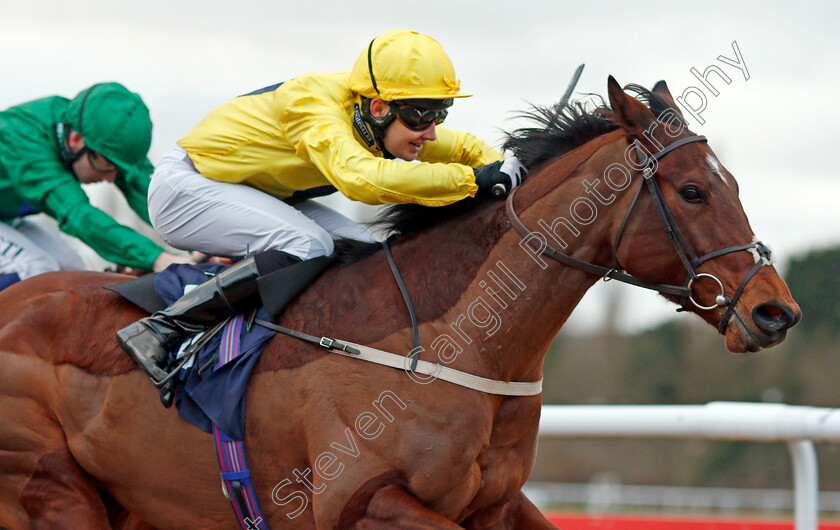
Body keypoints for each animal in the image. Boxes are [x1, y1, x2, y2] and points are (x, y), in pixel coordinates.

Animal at [0, 79, 800, 528]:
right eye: (693, 191)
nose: (775, 312)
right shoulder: (359, 503)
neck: (455, 346)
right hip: (53, 490)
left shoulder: (497, 505)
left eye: (731, 182)